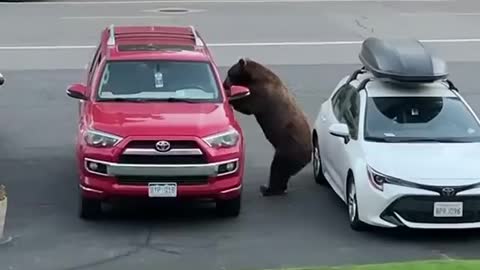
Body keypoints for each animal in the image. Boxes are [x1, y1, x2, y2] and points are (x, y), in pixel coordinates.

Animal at [223, 57, 314, 196]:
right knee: (284, 173)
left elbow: (246, 105)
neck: (256, 76)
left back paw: (267, 189)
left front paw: (232, 99)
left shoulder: (262, 93)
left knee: (278, 168)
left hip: (288, 148)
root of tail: (309, 154)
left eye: (229, 73)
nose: (223, 84)